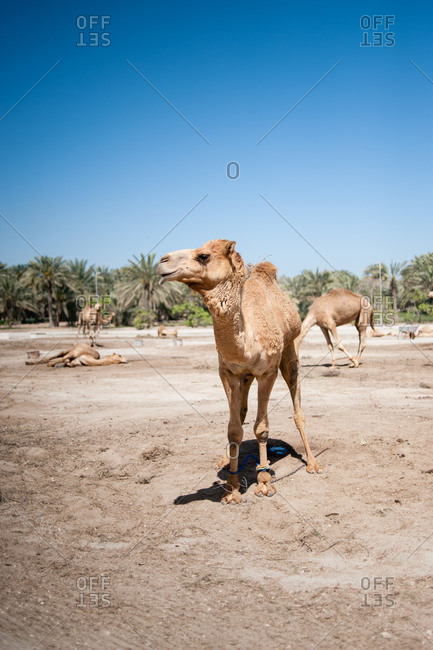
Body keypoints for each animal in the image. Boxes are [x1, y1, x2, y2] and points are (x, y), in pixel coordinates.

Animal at [157, 239, 321, 504]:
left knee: (297, 405)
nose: (162, 262)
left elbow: (262, 428)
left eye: (204, 256)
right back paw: (224, 459)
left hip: (290, 351)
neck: (247, 344)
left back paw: (313, 463)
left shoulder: (267, 373)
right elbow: (234, 429)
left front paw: (264, 483)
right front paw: (231, 489)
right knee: (242, 411)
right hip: (246, 377)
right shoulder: (228, 373)